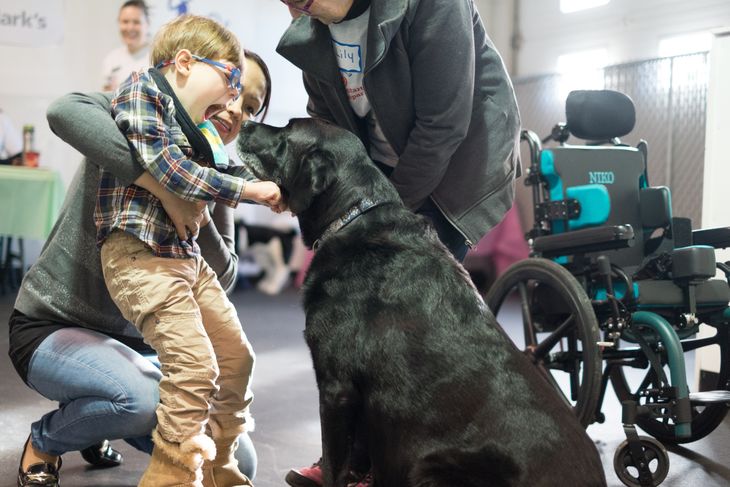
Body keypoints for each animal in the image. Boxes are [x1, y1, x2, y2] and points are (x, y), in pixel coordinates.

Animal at [237, 119, 604, 487]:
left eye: (286, 134)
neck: (355, 217)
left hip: (427, 465)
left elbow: (334, 465)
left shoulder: (336, 388)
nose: (246, 122)